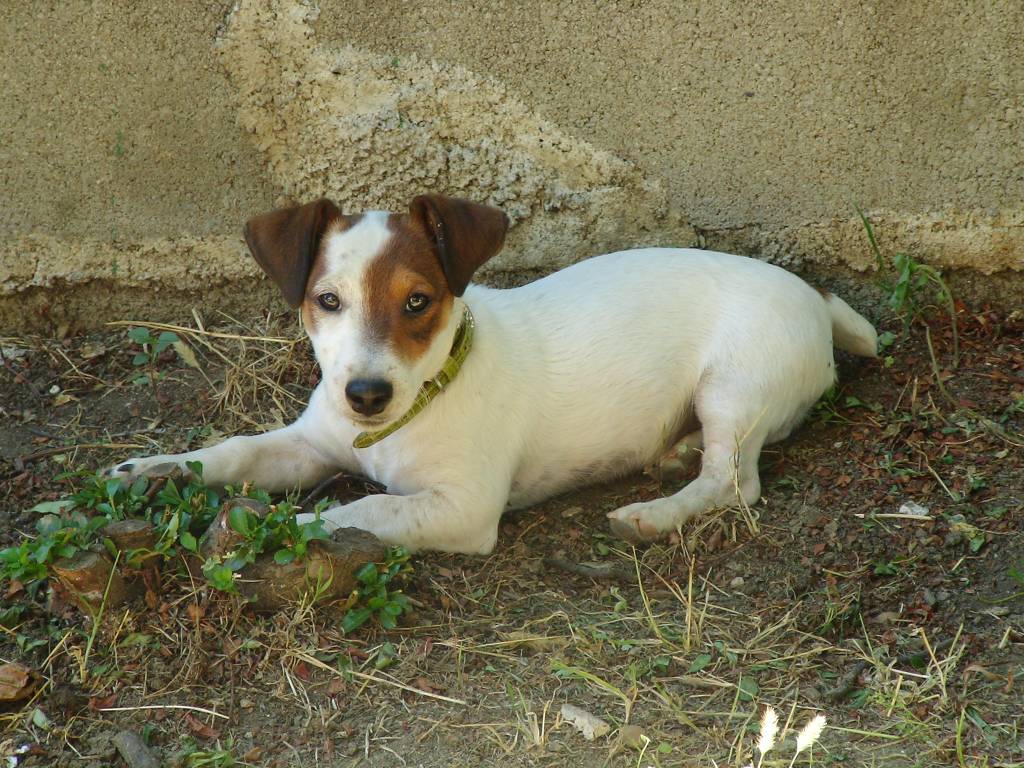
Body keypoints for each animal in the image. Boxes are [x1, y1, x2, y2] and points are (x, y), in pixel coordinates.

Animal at [110, 194, 877, 553]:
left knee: (734, 483)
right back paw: (674, 452)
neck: (415, 405)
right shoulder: (310, 443)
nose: (365, 395)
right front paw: (156, 470)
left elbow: (364, 511)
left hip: (735, 386)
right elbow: (238, 453)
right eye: (326, 300)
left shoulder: (463, 507)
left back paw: (654, 514)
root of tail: (815, 295)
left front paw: (280, 529)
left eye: (417, 301)